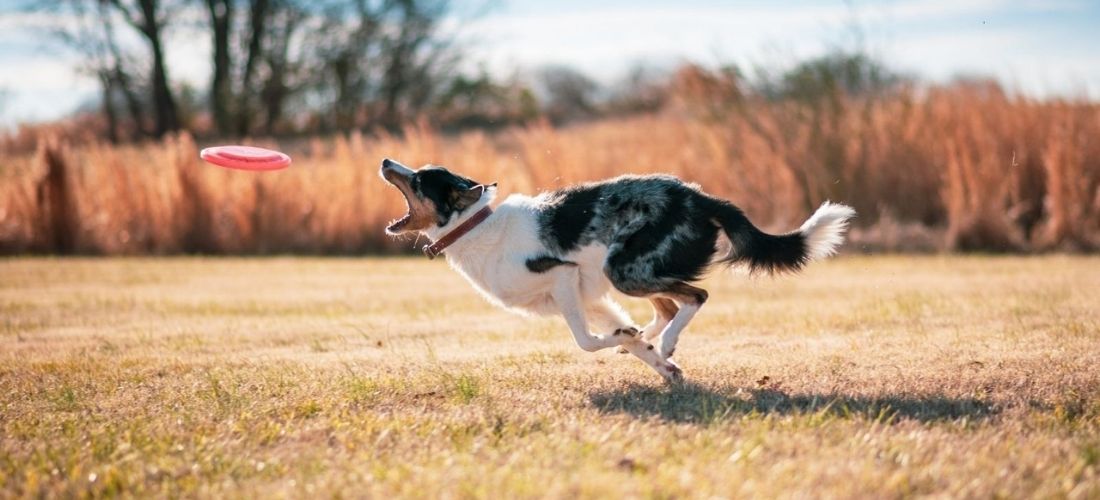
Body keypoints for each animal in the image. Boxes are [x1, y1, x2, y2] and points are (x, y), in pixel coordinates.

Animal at [382, 159, 853, 384]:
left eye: (420, 180)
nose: (386, 161)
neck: (478, 226)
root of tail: (701, 198)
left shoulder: (564, 278)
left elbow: (587, 342)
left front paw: (648, 350)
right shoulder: (589, 298)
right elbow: (618, 338)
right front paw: (653, 359)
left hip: (625, 269)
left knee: (694, 298)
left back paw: (668, 340)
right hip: (628, 274)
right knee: (667, 307)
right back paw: (650, 337)